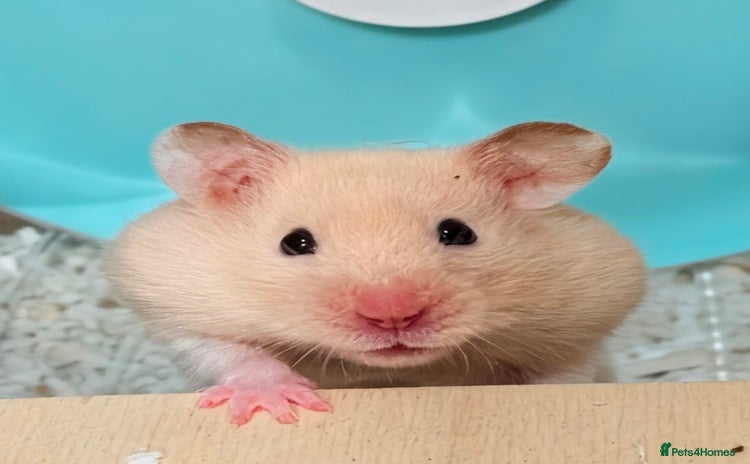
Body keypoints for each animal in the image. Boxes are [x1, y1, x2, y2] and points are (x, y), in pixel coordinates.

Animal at [104, 121, 645, 425]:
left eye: (458, 233)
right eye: (295, 242)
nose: (393, 316)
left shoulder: (581, 327)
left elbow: (564, 374)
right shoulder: (181, 302)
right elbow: (233, 353)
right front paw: (281, 407)